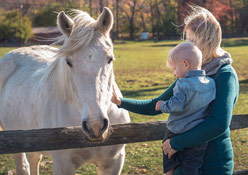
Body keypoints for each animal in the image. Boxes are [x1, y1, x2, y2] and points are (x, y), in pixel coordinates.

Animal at [0, 7, 131, 174]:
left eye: (110, 59)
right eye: (68, 62)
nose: (95, 125)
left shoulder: (113, 162)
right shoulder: (63, 165)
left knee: (34, 159)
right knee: (23, 165)